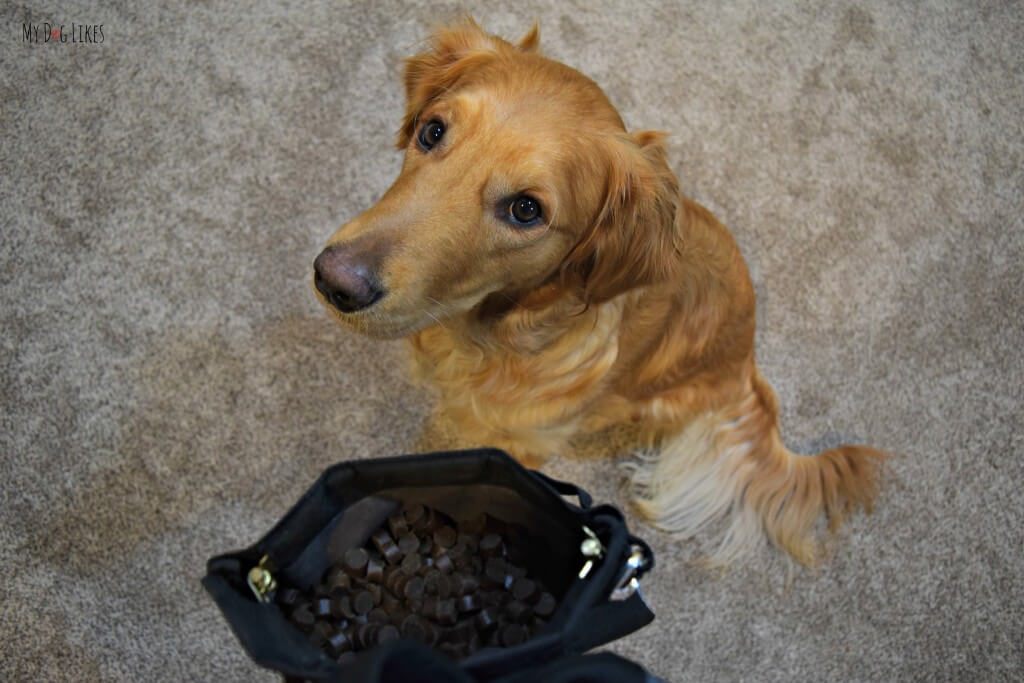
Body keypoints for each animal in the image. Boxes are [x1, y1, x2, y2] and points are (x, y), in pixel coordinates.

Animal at [311, 20, 880, 565]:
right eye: (432, 131)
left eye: (526, 210)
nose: (334, 281)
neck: (488, 331)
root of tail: (748, 360)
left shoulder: (520, 444)